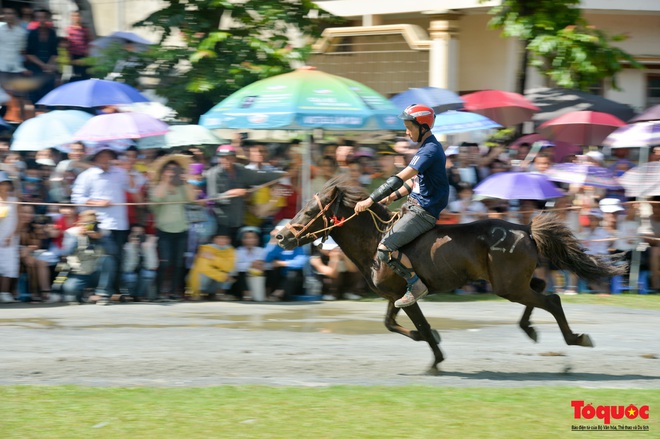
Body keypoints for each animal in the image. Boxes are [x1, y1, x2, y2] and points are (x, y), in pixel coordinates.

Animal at [276, 175, 628, 374]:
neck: (376, 240)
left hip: (509, 286)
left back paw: (575, 337)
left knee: (552, 299)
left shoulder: (407, 294)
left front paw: (435, 358)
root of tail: (525, 229)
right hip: (514, 283)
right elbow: (391, 323)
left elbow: (418, 324)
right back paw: (529, 329)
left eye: (310, 211)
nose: (280, 236)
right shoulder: (395, 296)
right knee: (541, 289)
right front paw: (429, 340)